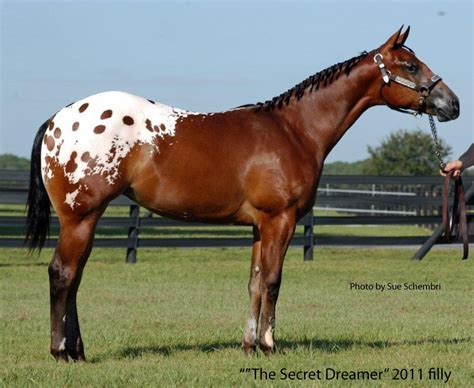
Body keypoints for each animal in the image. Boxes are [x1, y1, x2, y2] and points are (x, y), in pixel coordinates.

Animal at [24, 26, 458, 360]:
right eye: (410, 65)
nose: (451, 104)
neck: (295, 130)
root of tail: (59, 118)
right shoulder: (280, 220)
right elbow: (273, 281)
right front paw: (269, 345)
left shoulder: (258, 226)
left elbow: (253, 282)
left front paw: (248, 345)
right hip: (79, 217)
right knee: (62, 274)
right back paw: (60, 351)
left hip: (87, 218)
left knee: (75, 277)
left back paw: (78, 351)